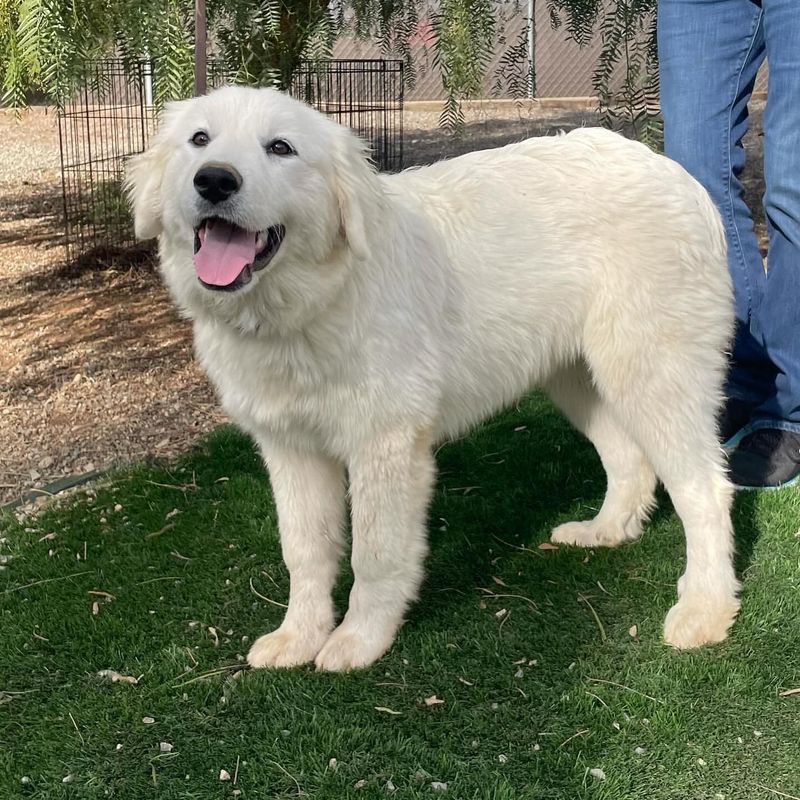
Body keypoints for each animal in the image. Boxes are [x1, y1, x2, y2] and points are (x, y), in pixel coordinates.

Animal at [126, 84, 744, 672]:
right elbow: (304, 551)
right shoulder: (291, 450)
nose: (214, 181)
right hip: (581, 380)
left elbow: (375, 554)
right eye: (199, 140)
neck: (315, 300)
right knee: (629, 462)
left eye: (280, 148)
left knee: (705, 490)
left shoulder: (386, 445)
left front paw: (358, 641)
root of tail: (677, 175)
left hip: (654, 375)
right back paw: (605, 532)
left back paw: (704, 609)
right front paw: (298, 637)